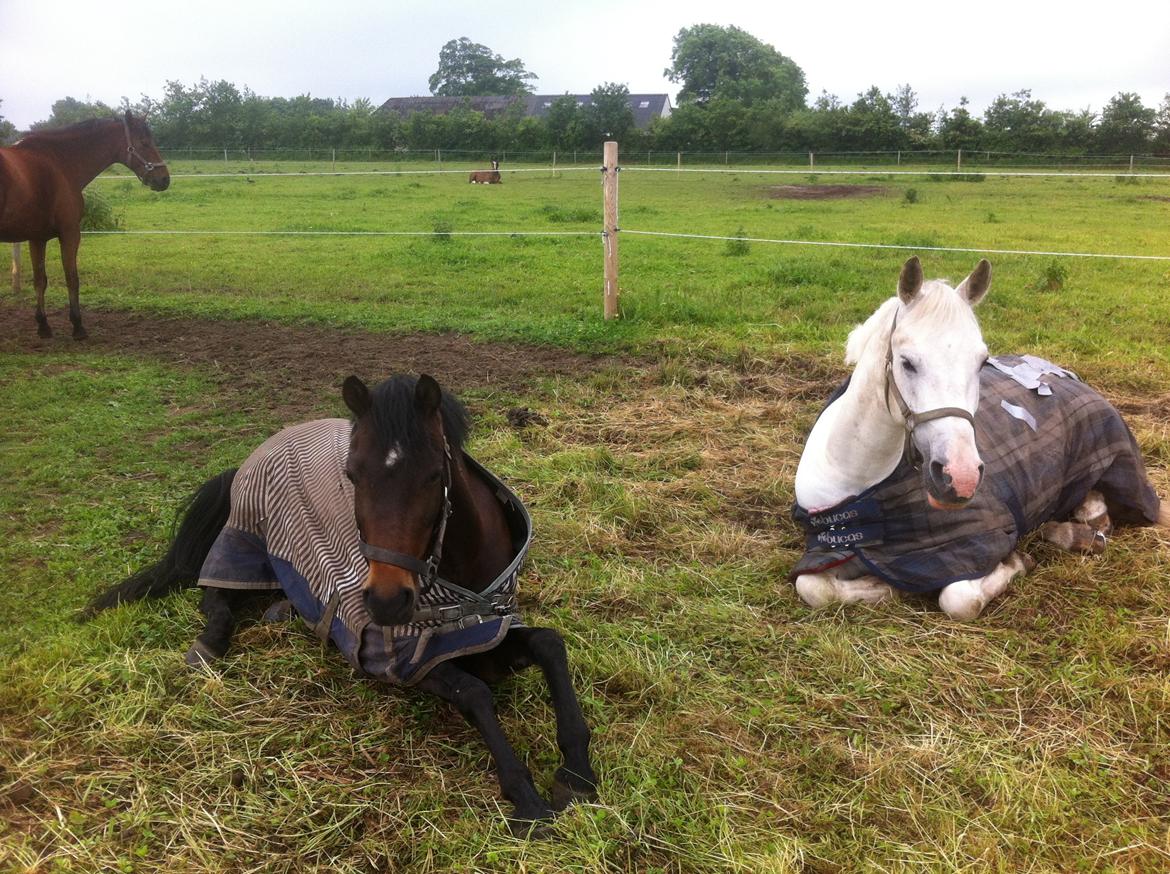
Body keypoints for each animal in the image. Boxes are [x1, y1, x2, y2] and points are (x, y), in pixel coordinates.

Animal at [0, 111, 169, 339]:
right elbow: (72, 278)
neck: (59, 162)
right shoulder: (70, 233)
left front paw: (43, 326)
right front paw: (78, 326)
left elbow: (40, 280)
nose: (164, 179)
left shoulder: (37, 238)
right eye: (144, 142)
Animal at [85, 373, 598, 834]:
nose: (388, 602)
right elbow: (474, 693)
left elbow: (550, 645)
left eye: (435, 475)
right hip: (244, 539)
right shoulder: (402, 657)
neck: (462, 585)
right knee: (216, 595)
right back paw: (208, 645)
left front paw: (576, 772)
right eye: (352, 475)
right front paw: (526, 797)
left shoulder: (492, 629)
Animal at [791, 257, 1167, 620]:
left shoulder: (972, 548)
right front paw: (882, 588)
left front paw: (1017, 562)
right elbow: (813, 588)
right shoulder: (834, 550)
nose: (960, 477)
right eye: (907, 362)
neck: (857, 478)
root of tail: (1063, 372)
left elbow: (960, 599)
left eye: (982, 361)